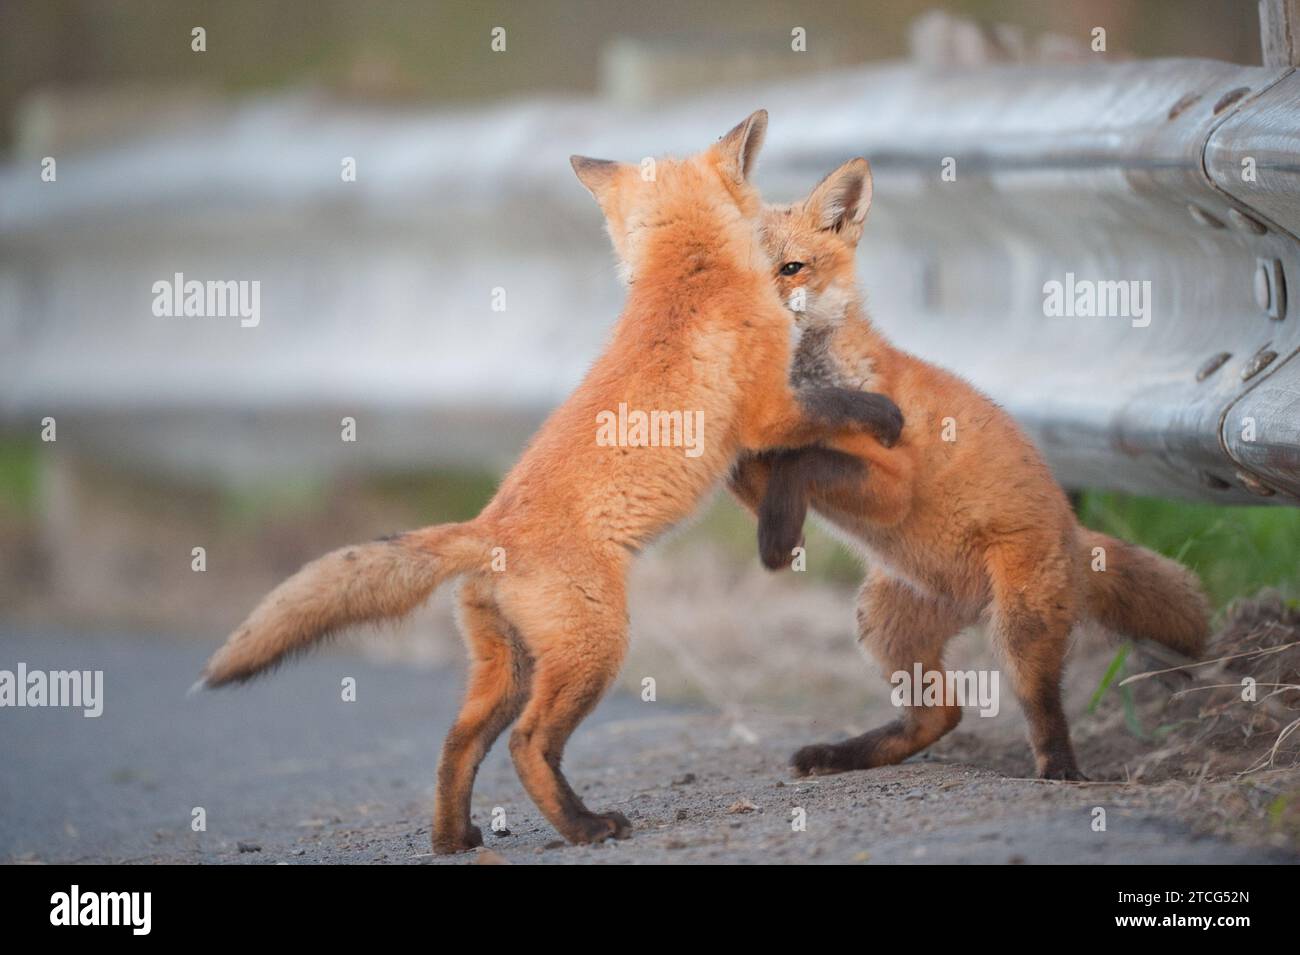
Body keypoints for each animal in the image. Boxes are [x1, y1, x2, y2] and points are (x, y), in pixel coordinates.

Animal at [196, 112, 904, 852]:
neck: (684, 274)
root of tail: (488, 526)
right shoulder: (769, 410)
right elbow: (836, 406)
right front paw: (885, 416)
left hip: (509, 669)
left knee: (458, 743)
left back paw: (456, 838)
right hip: (594, 650)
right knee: (528, 743)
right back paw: (587, 825)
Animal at [728, 157, 1211, 781]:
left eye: (792, 268)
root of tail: (1075, 532)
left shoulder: (893, 480)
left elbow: (803, 460)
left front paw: (777, 538)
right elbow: (756, 466)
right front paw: (776, 526)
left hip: (1019, 629)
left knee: (1037, 710)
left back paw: (1062, 774)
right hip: (884, 621)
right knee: (940, 715)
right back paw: (842, 754)